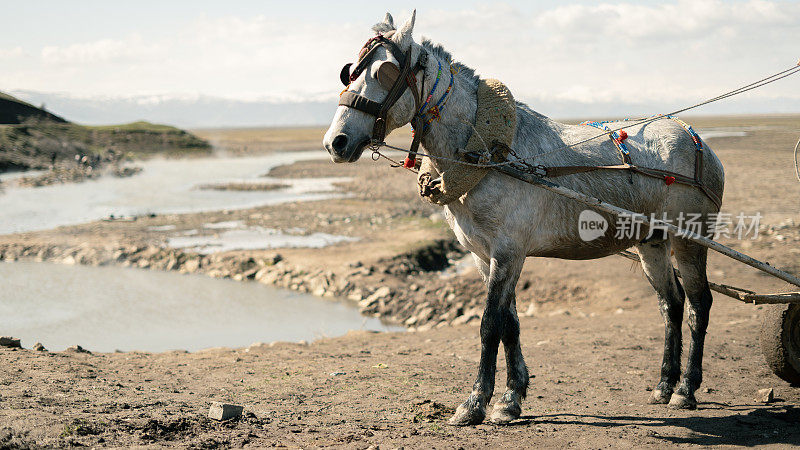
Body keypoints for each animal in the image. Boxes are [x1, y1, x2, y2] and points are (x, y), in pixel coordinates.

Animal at [322, 11, 720, 426]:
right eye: (349, 71)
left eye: (384, 71)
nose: (336, 142)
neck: (486, 153)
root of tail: (696, 139)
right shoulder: (484, 256)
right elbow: (509, 325)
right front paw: (511, 398)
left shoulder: (509, 251)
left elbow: (489, 325)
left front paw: (475, 403)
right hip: (651, 242)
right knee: (671, 304)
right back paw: (664, 385)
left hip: (690, 238)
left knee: (699, 304)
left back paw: (686, 390)